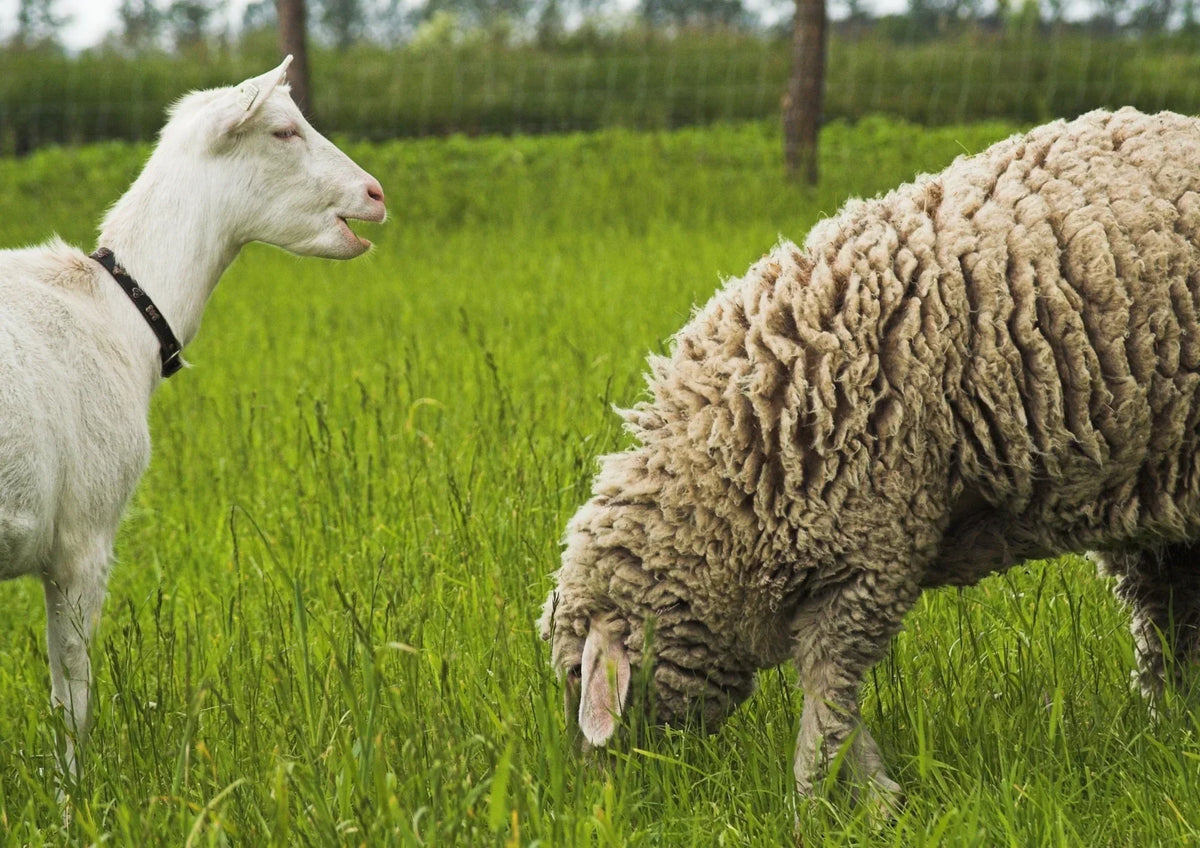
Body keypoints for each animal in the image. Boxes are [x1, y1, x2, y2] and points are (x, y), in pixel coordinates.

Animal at [0, 56, 386, 781]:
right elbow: (72, 692)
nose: (375, 194)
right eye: (284, 130)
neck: (120, 312)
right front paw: (75, 794)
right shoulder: (83, 534)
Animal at [539, 106, 1200, 809]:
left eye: (578, 678)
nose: (600, 791)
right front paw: (864, 789)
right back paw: (1175, 729)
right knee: (1172, 618)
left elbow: (827, 681)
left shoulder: (870, 545)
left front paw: (831, 795)